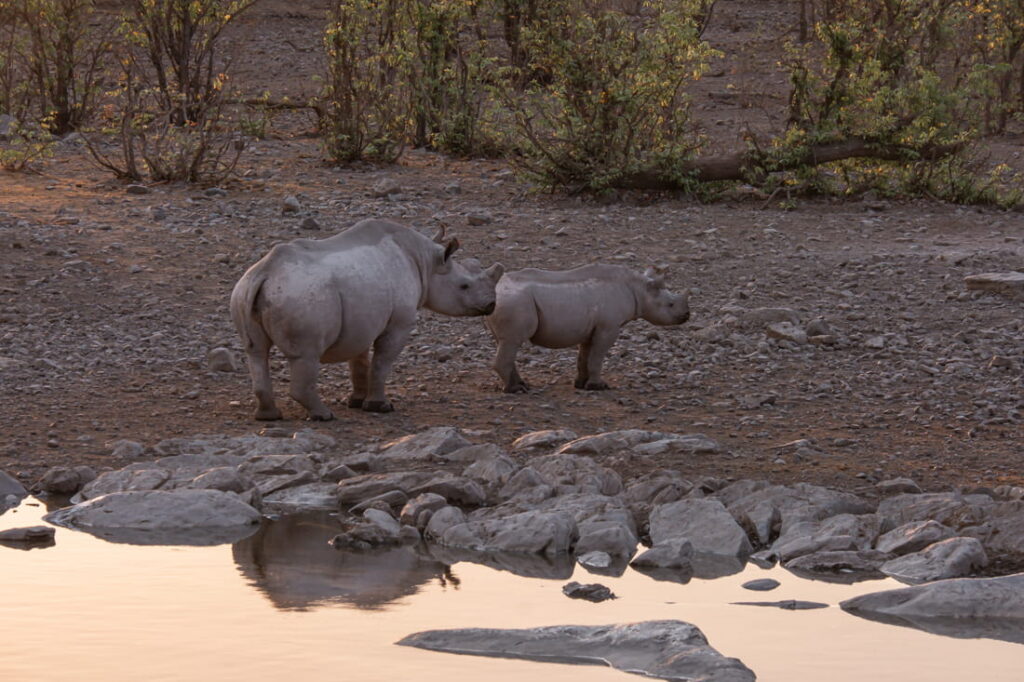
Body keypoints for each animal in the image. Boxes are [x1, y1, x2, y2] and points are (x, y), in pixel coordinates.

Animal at [230, 219, 503, 420]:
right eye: (464, 286)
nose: (492, 305)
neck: (426, 261)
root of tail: (265, 273)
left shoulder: (360, 321)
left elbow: (359, 362)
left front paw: (356, 401)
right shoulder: (400, 323)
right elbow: (382, 362)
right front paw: (379, 406)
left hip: (244, 291)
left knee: (256, 352)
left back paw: (269, 416)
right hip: (300, 295)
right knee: (305, 354)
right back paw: (324, 416)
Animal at [485, 265, 690, 393]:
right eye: (671, 305)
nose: (687, 316)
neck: (639, 289)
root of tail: (495, 292)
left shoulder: (590, 329)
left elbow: (585, 356)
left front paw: (581, 384)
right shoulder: (608, 327)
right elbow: (597, 357)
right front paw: (598, 387)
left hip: (506, 303)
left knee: (505, 342)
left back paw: (522, 386)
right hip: (514, 302)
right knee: (512, 341)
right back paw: (516, 390)